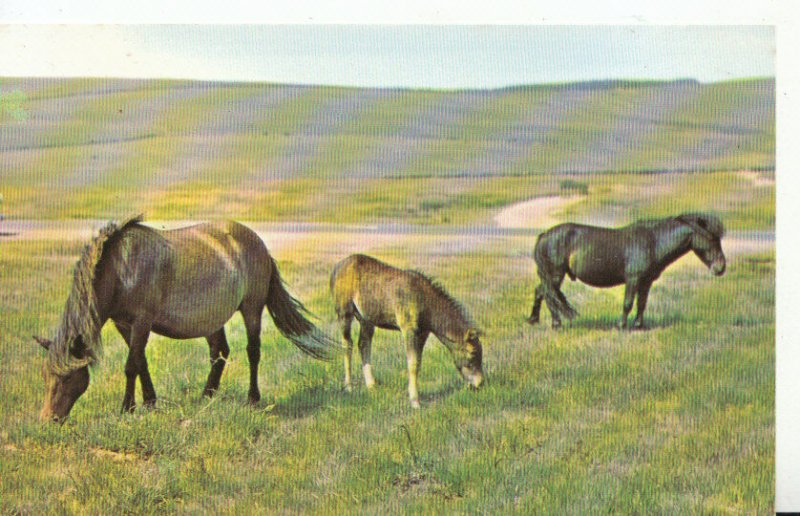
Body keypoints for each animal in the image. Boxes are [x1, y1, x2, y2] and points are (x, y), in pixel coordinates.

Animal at [36, 216, 338, 422]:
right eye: (45, 376)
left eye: (66, 377)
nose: (48, 420)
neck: (121, 269)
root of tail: (260, 244)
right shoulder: (124, 324)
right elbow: (141, 362)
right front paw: (150, 402)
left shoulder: (142, 322)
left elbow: (131, 365)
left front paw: (127, 408)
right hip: (212, 320)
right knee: (219, 352)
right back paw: (206, 396)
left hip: (252, 309)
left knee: (252, 352)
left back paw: (252, 399)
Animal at [330, 253, 484, 408]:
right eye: (472, 353)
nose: (480, 383)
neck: (425, 303)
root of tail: (336, 268)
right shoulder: (408, 329)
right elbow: (412, 363)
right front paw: (415, 401)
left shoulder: (423, 333)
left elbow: (418, 362)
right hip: (344, 313)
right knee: (347, 344)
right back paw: (349, 386)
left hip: (366, 319)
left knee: (363, 344)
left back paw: (371, 385)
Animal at [528, 214, 728, 330]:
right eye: (712, 238)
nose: (721, 268)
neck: (652, 242)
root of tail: (544, 236)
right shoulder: (633, 279)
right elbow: (628, 303)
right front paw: (621, 325)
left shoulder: (646, 282)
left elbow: (641, 304)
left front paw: (639, 325)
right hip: (555, 274)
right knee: (548, 294)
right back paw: (556, 323)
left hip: (551, 276)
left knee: (541, 292)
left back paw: (533, 320)